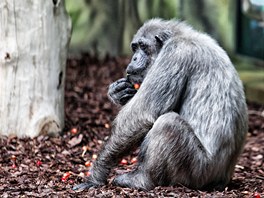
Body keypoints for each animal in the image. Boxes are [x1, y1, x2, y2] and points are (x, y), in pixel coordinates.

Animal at [73, 19, 248, 192]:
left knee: (167, 123)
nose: (134, 58)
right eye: (134, 47)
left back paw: (140, 180)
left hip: (198, 172)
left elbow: (142, 114)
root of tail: (222, 181)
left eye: (143, 46)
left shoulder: (174, 54)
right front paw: (118, 91)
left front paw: (97, 174)